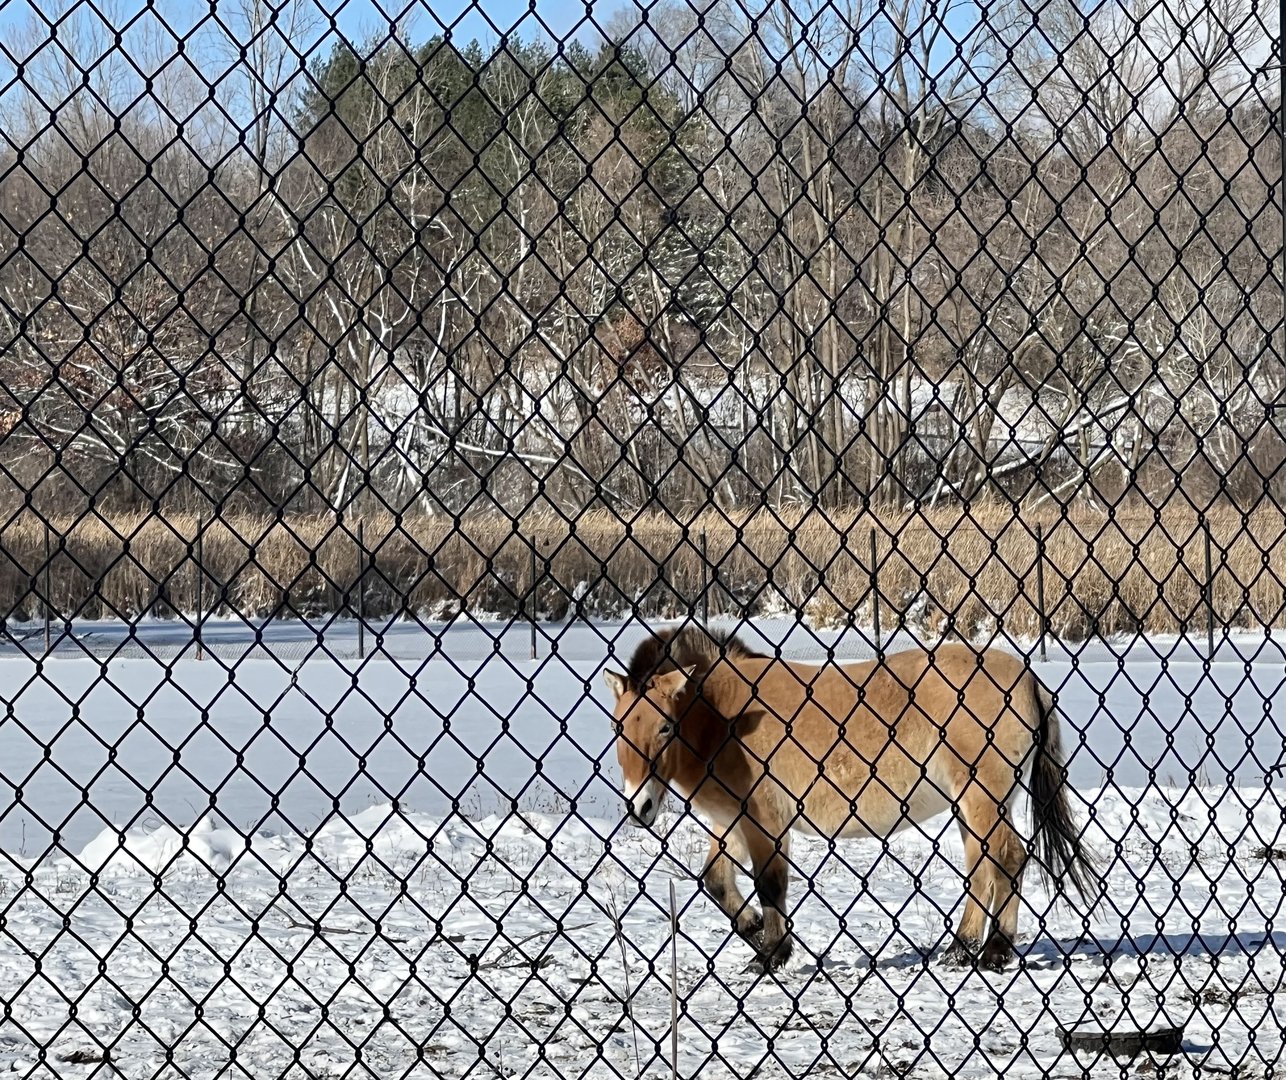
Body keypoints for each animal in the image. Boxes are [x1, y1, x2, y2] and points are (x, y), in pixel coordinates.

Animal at [603, 624, 1100, 972]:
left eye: (665, 726)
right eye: (617, 726)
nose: (638, 807)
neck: (724, 717)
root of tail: (1027, 678)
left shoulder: (765, 821)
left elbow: (770, 884)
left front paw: (771, 954)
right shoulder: (731, 823)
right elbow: (717, 880)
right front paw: (752, 927)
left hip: (982, 798)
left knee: (1008, 859)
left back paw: (995, 951)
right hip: (972, 805)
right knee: (983, 869)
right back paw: (960, 949)